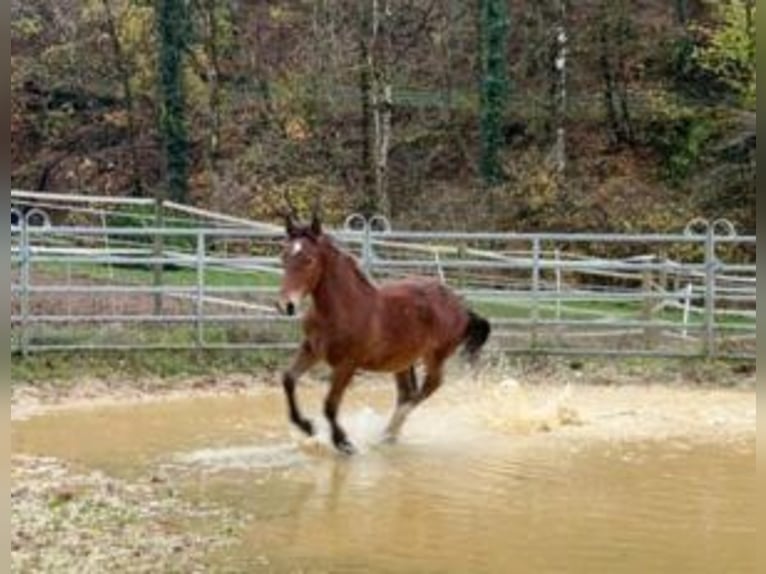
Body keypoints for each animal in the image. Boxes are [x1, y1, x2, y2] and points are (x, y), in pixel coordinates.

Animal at [276, 213, 492, 454]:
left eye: (309, 260)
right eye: (283, 256)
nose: (286, 305)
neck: (342, 307)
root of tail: (461, 307)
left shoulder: (347, 364)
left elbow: (330, 405)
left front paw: (343, 442)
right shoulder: (311, 349)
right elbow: (288, 379)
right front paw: (306, 426)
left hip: (435, 357)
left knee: (427, 388)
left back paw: (388, 431)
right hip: (402, 361)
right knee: (407, 394)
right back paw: (390, 434)